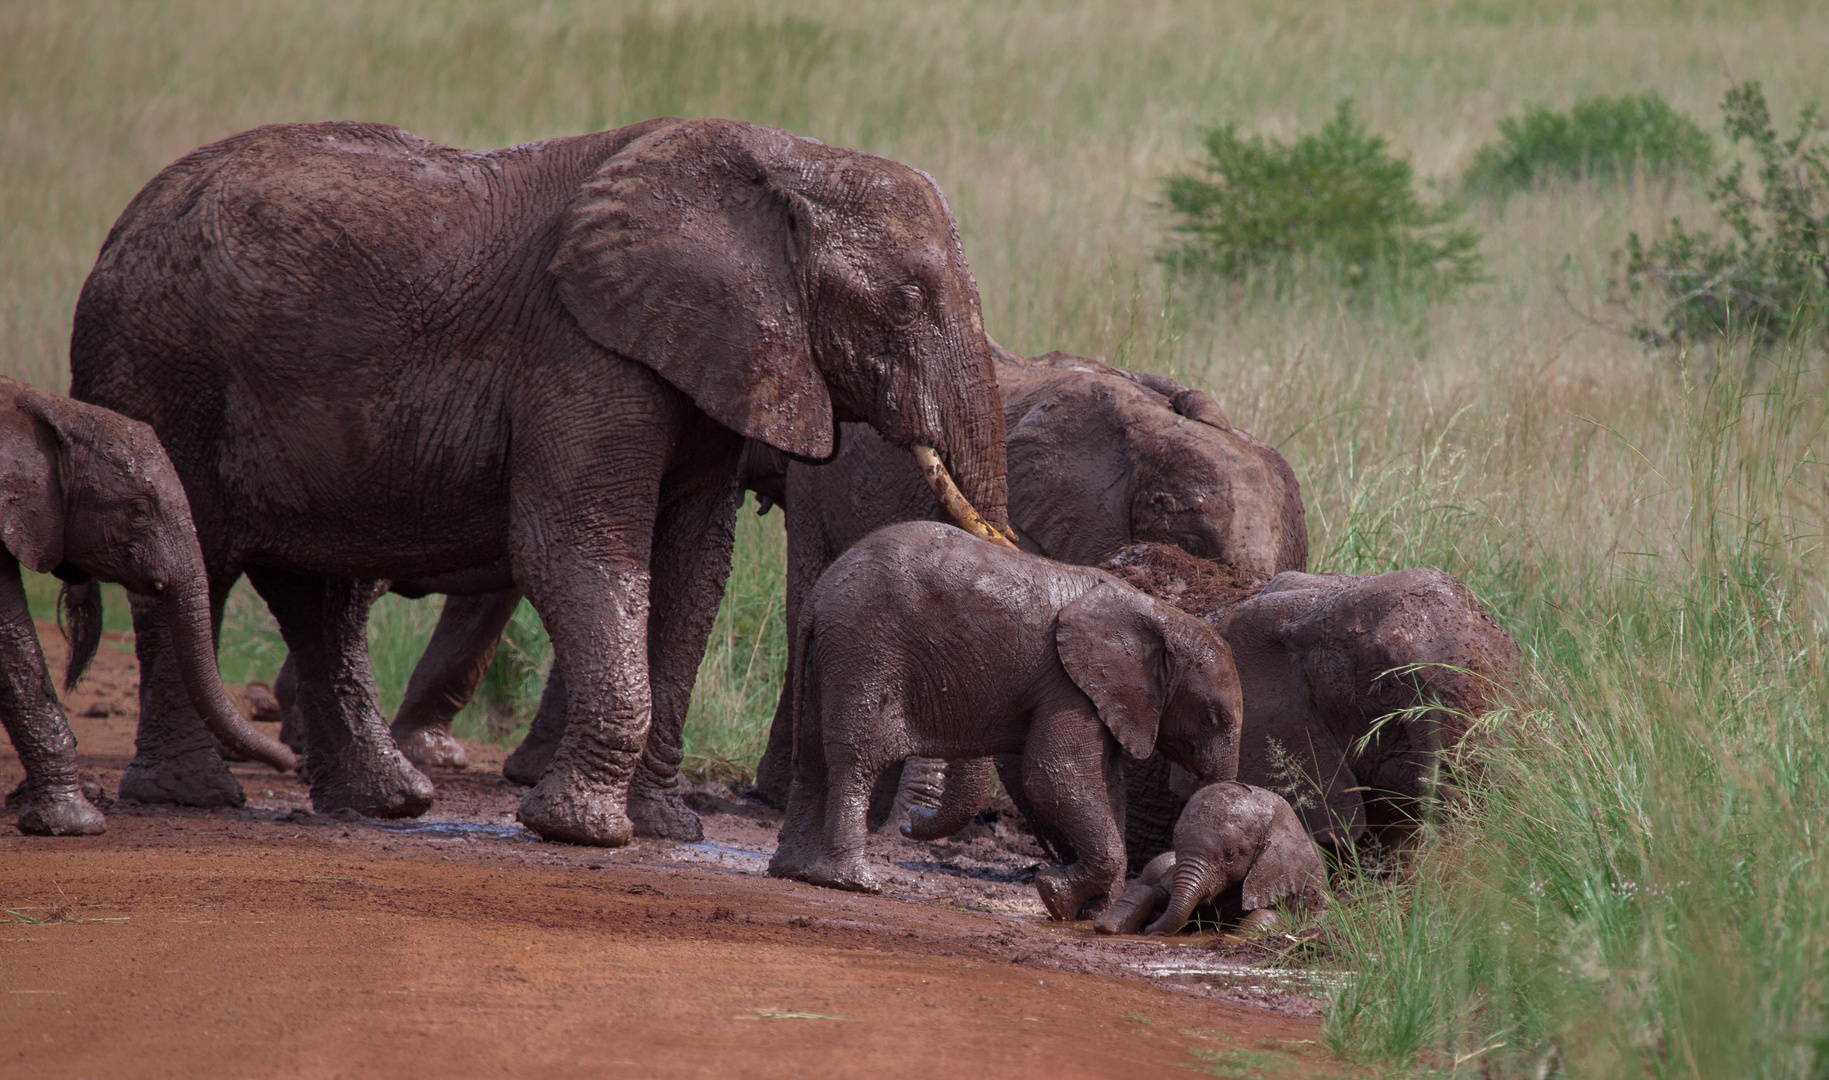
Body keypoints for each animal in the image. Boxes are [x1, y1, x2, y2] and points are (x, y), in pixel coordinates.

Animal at [67, 116, 1016, 845]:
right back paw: (196, 797)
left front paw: (665, 829)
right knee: (192, 564)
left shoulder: (705, 358)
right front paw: (580, 831)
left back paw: (386, 803)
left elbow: (692, 573)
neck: (786, 159)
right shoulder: (582, 352)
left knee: (317, 596)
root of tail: (115, 232)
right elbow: (578, 548)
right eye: (903, 303)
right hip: (162, 371)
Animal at [764, 523, 1251, 922]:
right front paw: (1057, 896)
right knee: (857, 757)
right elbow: (1055, 777)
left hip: (827, 652)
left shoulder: (1100, 695)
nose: (909, 822)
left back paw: (793, 872)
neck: (1160, 612)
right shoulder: (1069, 685)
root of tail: (819, 595)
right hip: (865, 646)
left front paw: (1090, 913)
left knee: (812, 758)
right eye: (1211, 717)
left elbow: (1107, 788)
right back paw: (854, 882)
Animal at [1090, 779, 1324, 937]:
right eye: (1176, 845)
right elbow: (1149, 891)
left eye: (1230, 855)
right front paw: (1106, 927)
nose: (1149, 929)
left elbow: (1267, 915)